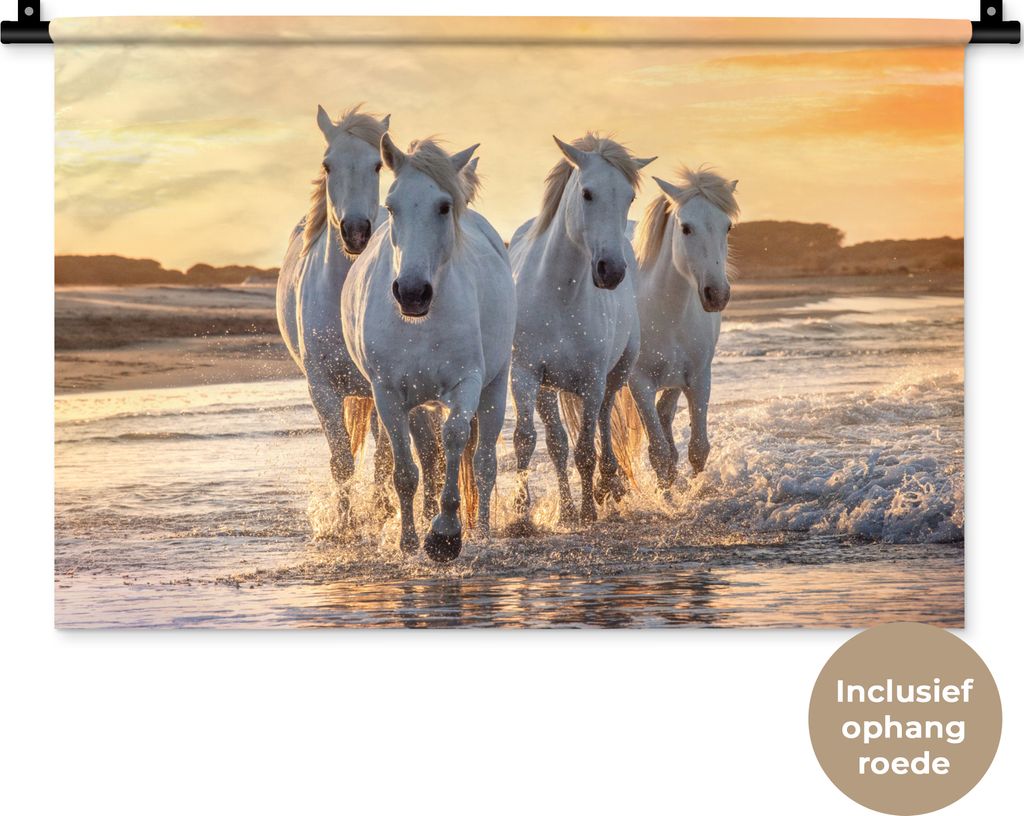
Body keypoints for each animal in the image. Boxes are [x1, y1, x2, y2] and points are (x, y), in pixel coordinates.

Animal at [276, 104, 443, 520]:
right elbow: (342, 461)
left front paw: (382, 512)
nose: (355, 232)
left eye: (376, 166)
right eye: (328, 164)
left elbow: (387, 457)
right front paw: (345, 521)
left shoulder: (386, 389)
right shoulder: (322, 389)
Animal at [341, 135, 515, 562]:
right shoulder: (387, 393)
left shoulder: (467, 383)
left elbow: (455, 439)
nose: (411, 292)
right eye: (391, 206)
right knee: (429, 460)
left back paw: (482, 531)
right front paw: (408, 542)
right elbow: (406, 470)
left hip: (495, 386)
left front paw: (445, 534)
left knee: (484, 463)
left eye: (443, 206)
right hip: (420, 403)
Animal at [508, 134, 655, 526]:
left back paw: (608, 484)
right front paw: (521, 516)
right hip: (548, 388)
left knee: (603, 421)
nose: (611, 271)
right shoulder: (525, 374)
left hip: (615, 374)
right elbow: (527, 440)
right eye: (587, 193)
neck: (559, 293)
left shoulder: (591, 381)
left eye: (629, 197)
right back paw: (567, 509)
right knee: (557, 443)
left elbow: (586, 448)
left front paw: (589, 509)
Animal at [613, 167, 739, 488]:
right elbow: (658, 454)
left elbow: (698, 448)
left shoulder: (698, 377)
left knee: (665, 415)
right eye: (686, 228)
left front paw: (696, 491)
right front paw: (668, 496)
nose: (716, 294)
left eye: (727, 227)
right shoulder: (640, 384)